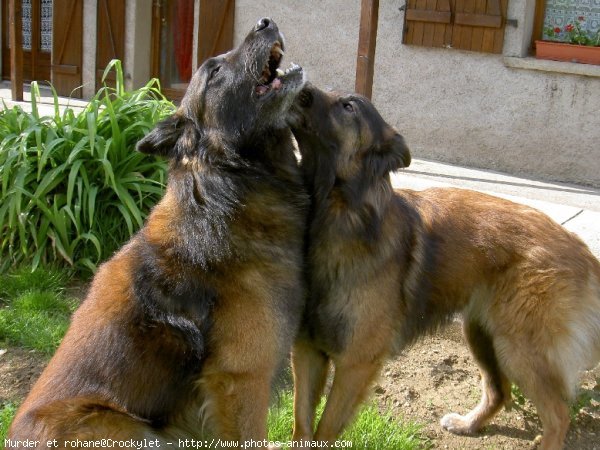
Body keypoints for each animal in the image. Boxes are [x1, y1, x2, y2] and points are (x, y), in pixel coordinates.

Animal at [286, 82, 600, 448]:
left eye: (348, 106)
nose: (296, 82)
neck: (336, 210)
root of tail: (580, 248)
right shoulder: (306, 351)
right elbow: (301, 427)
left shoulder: (355, 364)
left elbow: (323, 432)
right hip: (481, 335)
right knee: (499, 392)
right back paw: (468, 424)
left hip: (520, 350)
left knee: (558, 416)